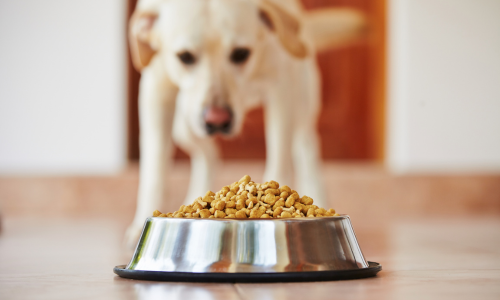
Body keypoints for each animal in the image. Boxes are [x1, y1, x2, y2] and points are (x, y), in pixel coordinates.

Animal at [126, 0, 368, 245]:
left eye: (241, 53)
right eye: (185, 57)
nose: (217, 121)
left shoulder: (281, 91)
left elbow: (279, 159)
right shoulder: (155, 91)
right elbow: (155, 169)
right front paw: (141, 225)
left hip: (302, 102)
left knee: (306, 146)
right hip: (184, 125)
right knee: (208, 155)